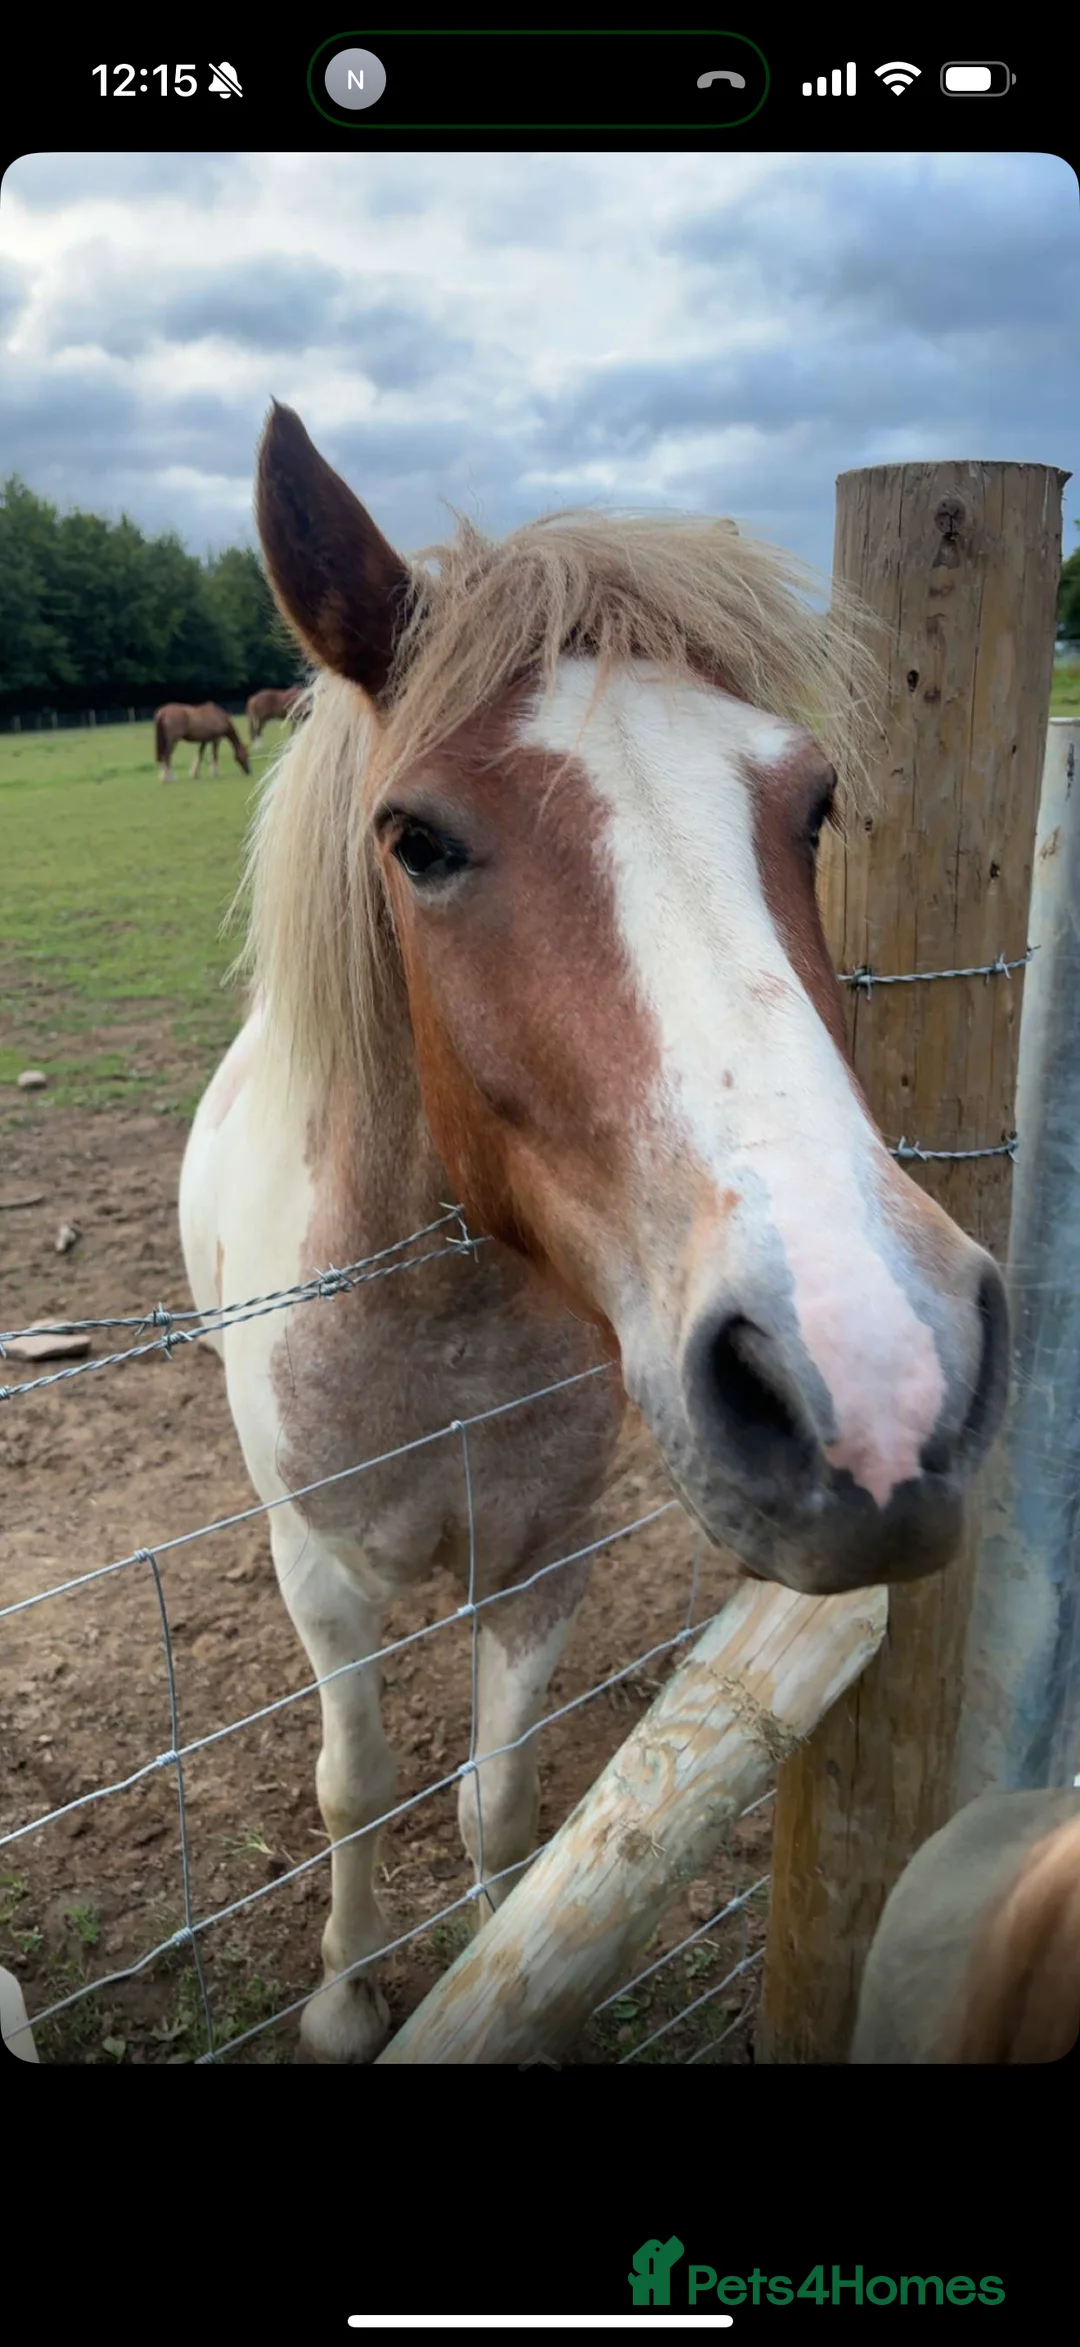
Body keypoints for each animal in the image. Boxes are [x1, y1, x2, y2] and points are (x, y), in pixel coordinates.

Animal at [178, 400, 1010, 2064]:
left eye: (814, 804)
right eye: (417, 838)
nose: (877, 1380)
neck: (439, 1329)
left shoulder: (540, 1563)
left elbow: (500, 1810)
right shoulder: (323, 1572)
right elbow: (352, 1785)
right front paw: (343, 1996)